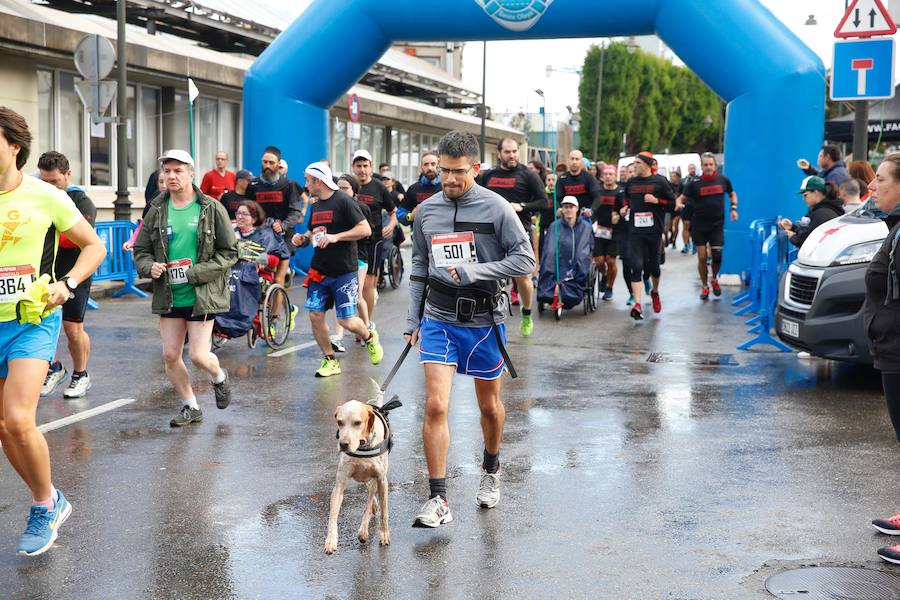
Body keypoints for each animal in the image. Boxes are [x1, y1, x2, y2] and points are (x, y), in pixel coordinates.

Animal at [326, 400, 390, 556]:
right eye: (340, 422)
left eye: (357, 423)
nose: (343, 444)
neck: (362, 446)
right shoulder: (339, 485)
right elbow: (333, 516)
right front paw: (331, 540)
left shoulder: (381, 481)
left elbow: (384, 513)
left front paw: (384, 534)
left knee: (371, 496)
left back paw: (364, 530)